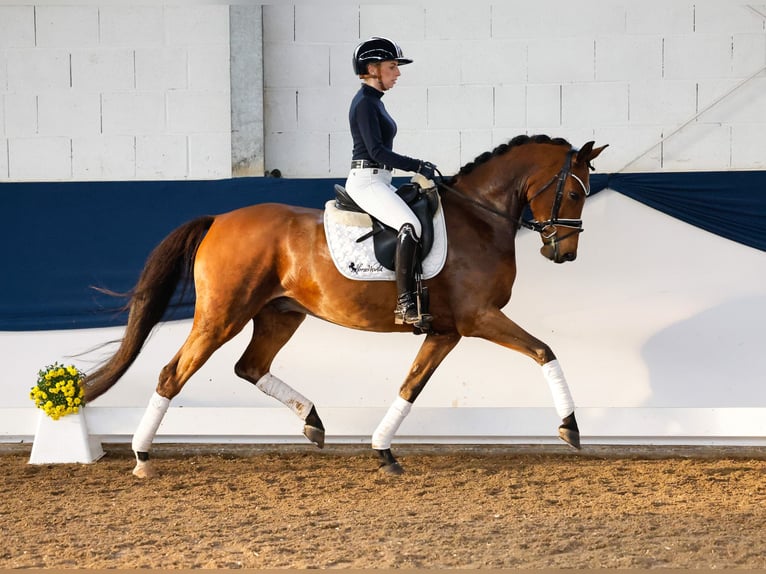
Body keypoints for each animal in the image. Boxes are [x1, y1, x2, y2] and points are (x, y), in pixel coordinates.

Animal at [84, 134, 608, 476]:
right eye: (574, 190)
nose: (564, 252)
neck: (480, 218)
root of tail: (219, 219)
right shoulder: (479, 318)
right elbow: (544, 351)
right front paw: (570, 427)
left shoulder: (446, 330)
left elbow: (411, 386)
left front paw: (383, 451)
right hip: (220, 316)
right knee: (173, 373)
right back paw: (142, 457)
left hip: (279, 315)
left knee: (249, 367)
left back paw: (313, 421)